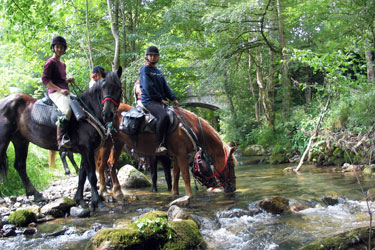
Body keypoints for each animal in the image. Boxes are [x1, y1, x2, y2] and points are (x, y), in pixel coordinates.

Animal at [0, 67, 122, 208]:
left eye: (118, 87)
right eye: (103, 87)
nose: (108, 113)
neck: (88, 112)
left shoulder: (84, 151)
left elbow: (82, 175)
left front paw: (79, 199)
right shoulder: (87, 150)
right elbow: (91, 176)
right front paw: (97, 201)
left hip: (21, 141)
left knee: (19, 165)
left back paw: (35, 194)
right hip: (3, 141)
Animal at [97, 102, 238, 198]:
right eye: (231, 165)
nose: (233, 187)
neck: (188, 127)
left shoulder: (175, 156)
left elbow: (174, 175)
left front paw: (175, 194)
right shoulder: (181, 154)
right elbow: (185, 175)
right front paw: (189, 196)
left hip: (118, 143)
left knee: (111, 164)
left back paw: (117, 191)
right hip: (106, 143)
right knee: (101, 165)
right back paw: (104, 191)